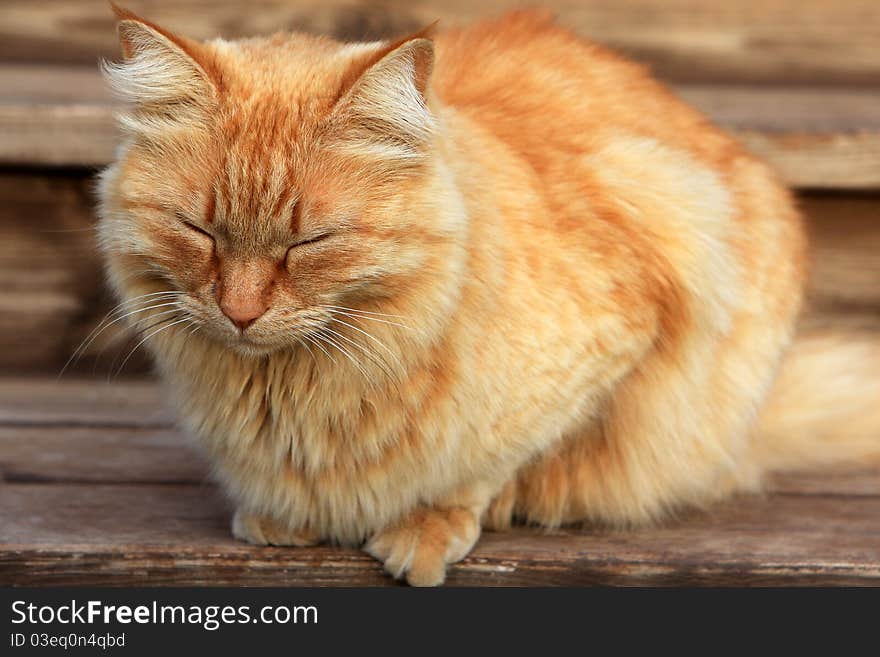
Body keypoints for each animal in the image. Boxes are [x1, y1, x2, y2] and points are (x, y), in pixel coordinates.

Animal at [98, 6, 880, 584]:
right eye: (199, 230)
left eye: (309, 242)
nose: (240, 311)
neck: (294, 392)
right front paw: (283, 516)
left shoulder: (629, 306)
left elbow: (485, 461)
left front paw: (434, 522)